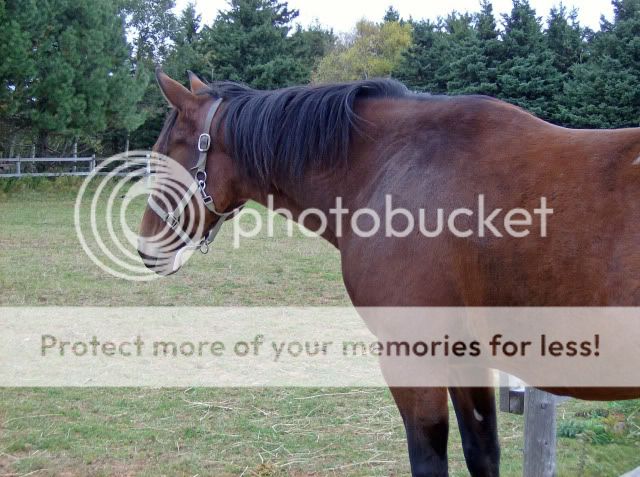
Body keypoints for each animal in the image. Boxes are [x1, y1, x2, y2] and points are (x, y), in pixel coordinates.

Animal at [139, 69, 640, 476]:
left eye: (163, 155)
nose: (146, 246)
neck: (393, 166)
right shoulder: (467, 356)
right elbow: (482, 451)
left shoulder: (412, 356)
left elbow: (430, 458)